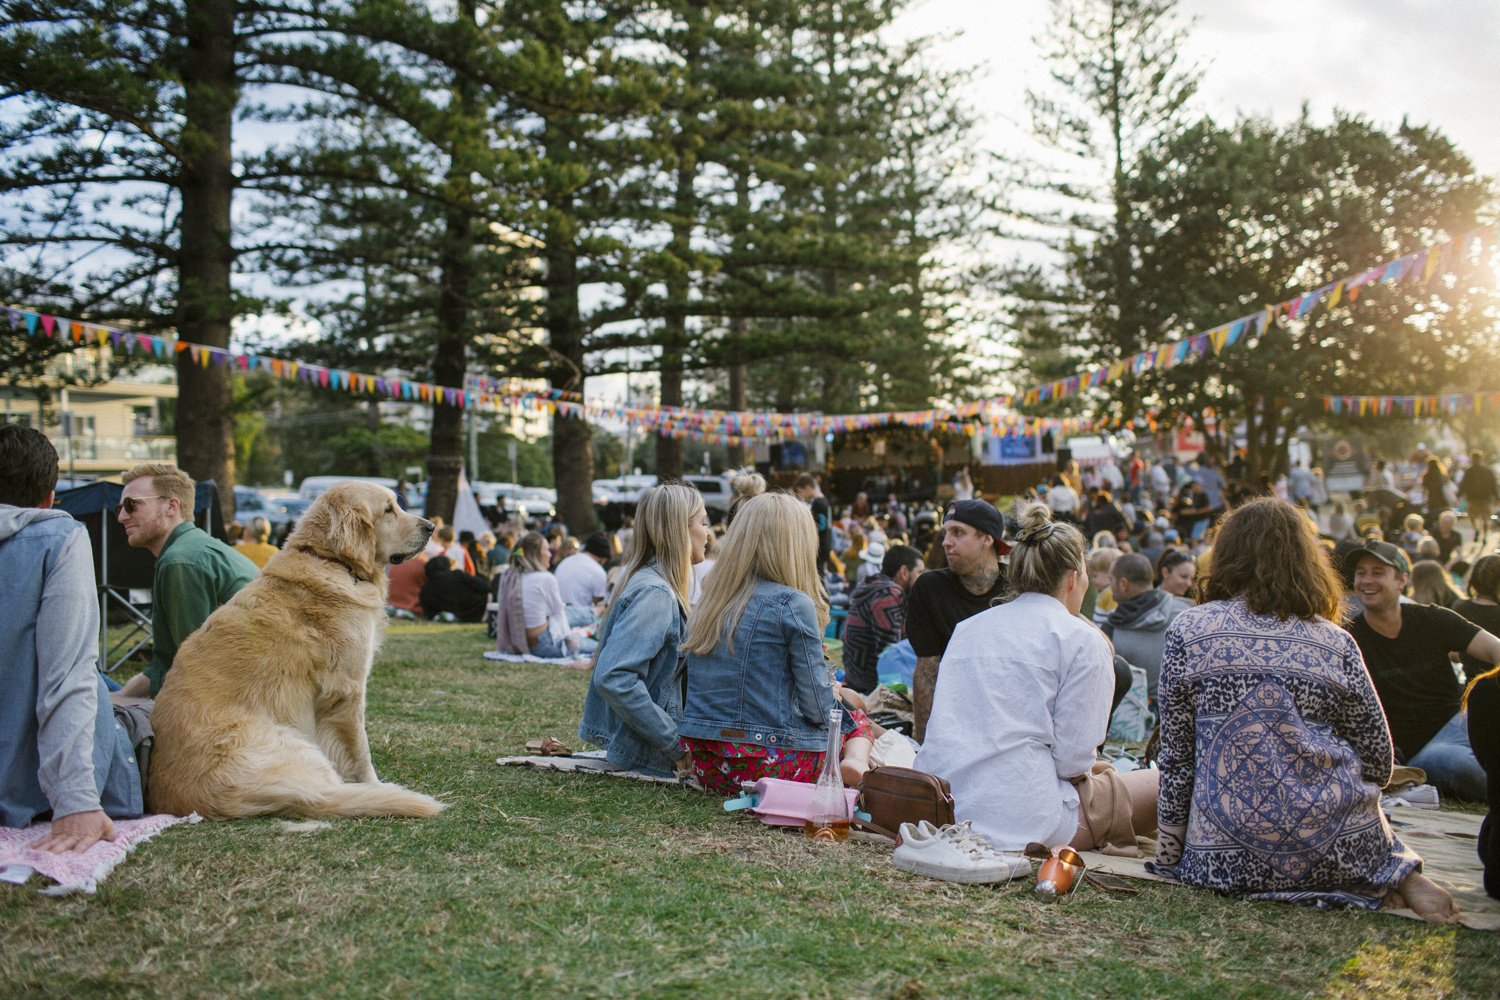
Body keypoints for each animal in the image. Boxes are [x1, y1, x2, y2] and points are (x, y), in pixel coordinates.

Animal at [149, 485, 447, 821]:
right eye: (388, 510)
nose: (431, 527)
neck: (331, 561)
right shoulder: (348, 690)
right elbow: (361, 752)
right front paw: (375, 784)